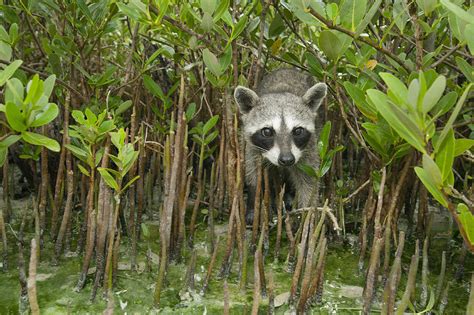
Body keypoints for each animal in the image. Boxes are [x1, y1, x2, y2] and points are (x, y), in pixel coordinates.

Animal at [232, 69, 326, 223]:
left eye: (298, 131)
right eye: (267, 131)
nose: (287, 159)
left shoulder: (309, 146)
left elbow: (309, 181)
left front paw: (308, 217)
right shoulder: (251, 145)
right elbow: (254, 173)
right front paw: (253, 204)